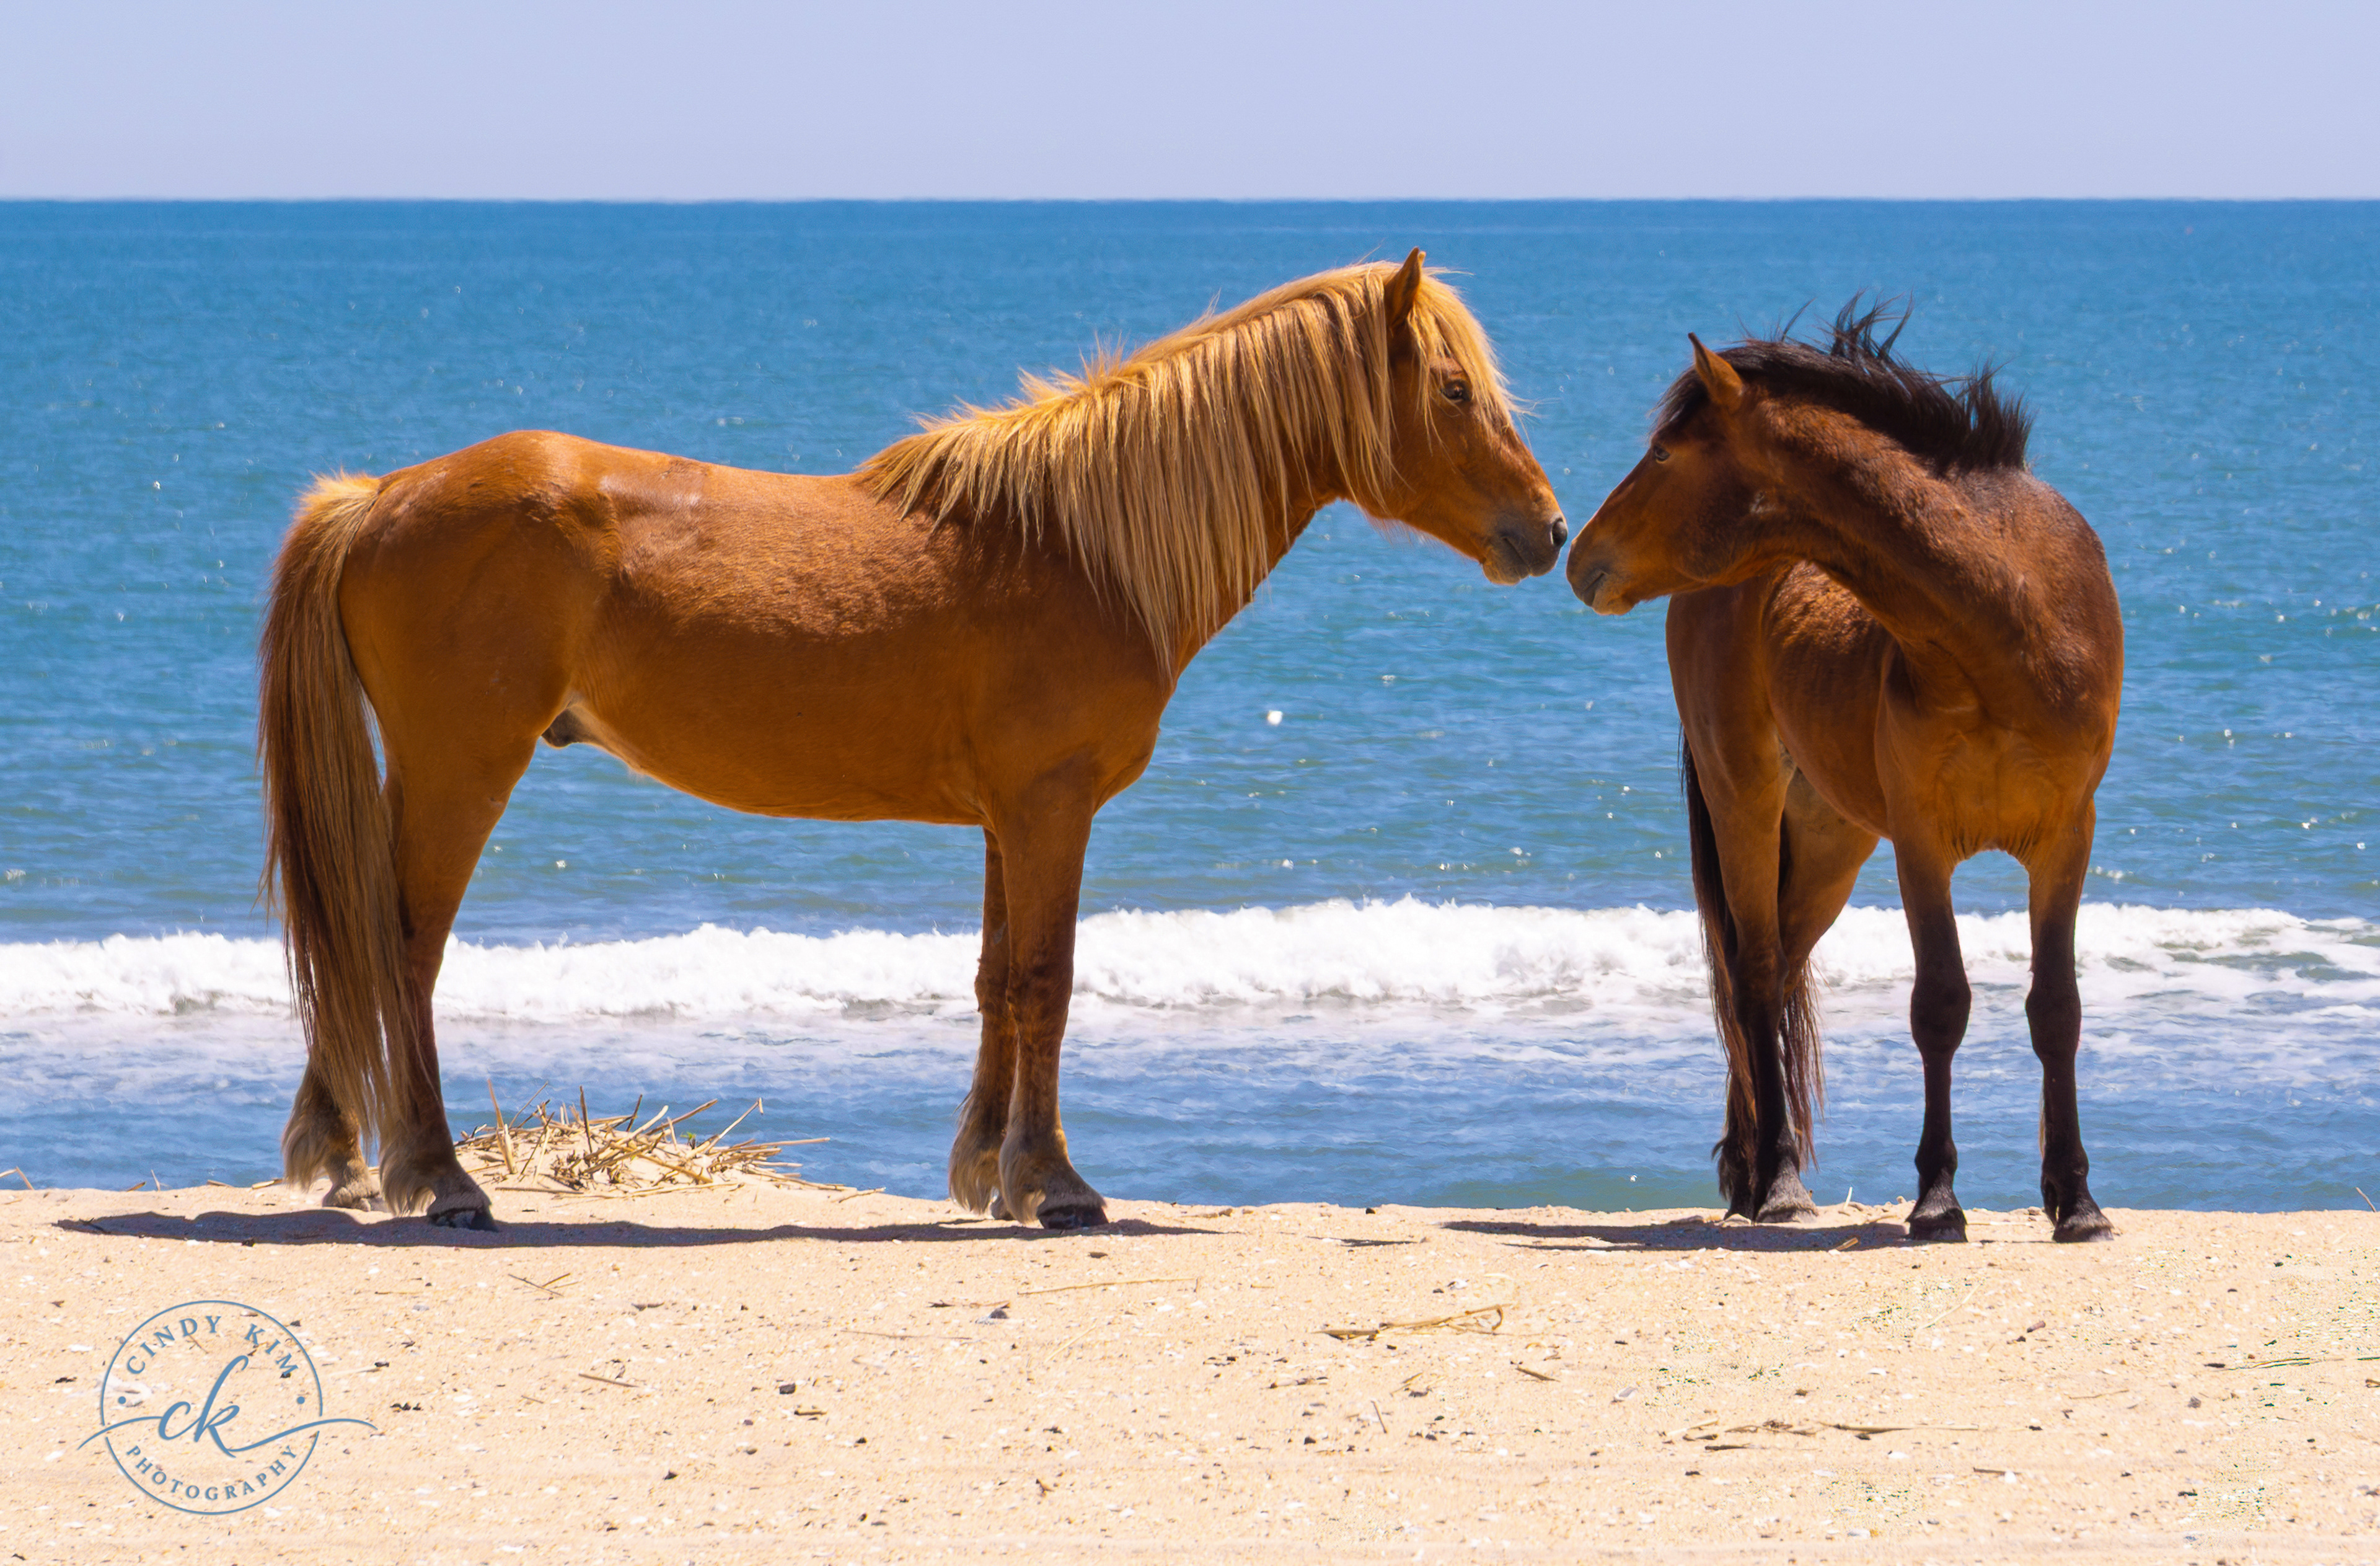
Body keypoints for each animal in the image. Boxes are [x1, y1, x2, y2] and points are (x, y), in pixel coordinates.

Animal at [259, 250, 1566, 1231]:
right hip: (463, 765)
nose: (1547, 530)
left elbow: (995, 982)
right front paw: (1055, 1186)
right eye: (1455, 390)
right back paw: (438, 1177)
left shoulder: (1007, 816)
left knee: (362, 936)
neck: (1078, 550)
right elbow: (1047, 982)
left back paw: (350, 1161)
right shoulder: (1051, 806)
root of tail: (377, 496)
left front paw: (987, 1175)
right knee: (401, 945)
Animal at [1565, 305, 2123, 1243]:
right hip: (1746, 802)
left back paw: (1750, 1167)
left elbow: (2057, 1009)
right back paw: (1778, 1180)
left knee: (1781, 969)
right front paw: (1938, 1200)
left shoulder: (2064, 840)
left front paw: (2076, 1202)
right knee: (1754, 972)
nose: (1576, 558)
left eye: (1667, 454)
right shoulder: (1923, 845)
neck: (2009, 632)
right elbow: (1941, 1004)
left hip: (1833, 839)